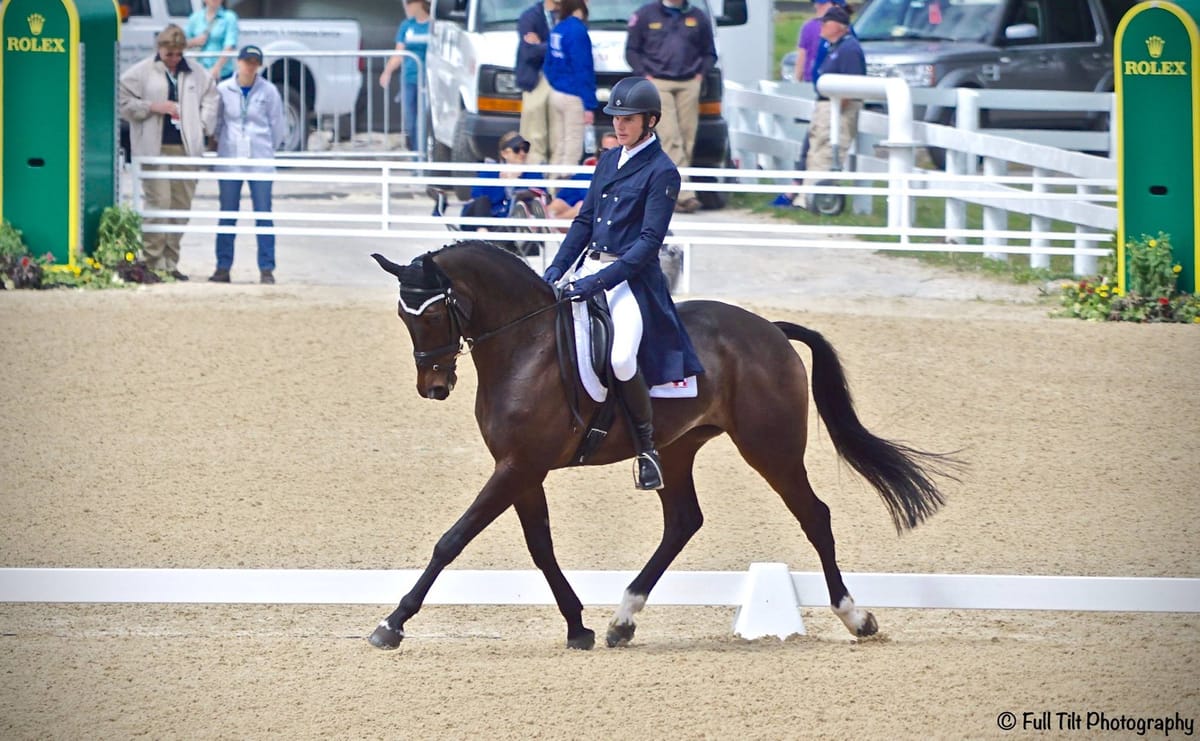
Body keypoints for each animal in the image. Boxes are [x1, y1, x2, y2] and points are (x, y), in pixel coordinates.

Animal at [369, 240, 959, 650]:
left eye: (434, 313)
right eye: (402, 316)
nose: (434, 387)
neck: (525, 346)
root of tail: (769, 329)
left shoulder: (518, 466)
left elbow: (452, 541)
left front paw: (392, 623)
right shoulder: (521, 468)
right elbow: (541, 548)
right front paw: (578, 626)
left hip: (771, 448)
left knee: (815, 516)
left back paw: (856, 617)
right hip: (678, 448)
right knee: (683, 521)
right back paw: (622, 620)